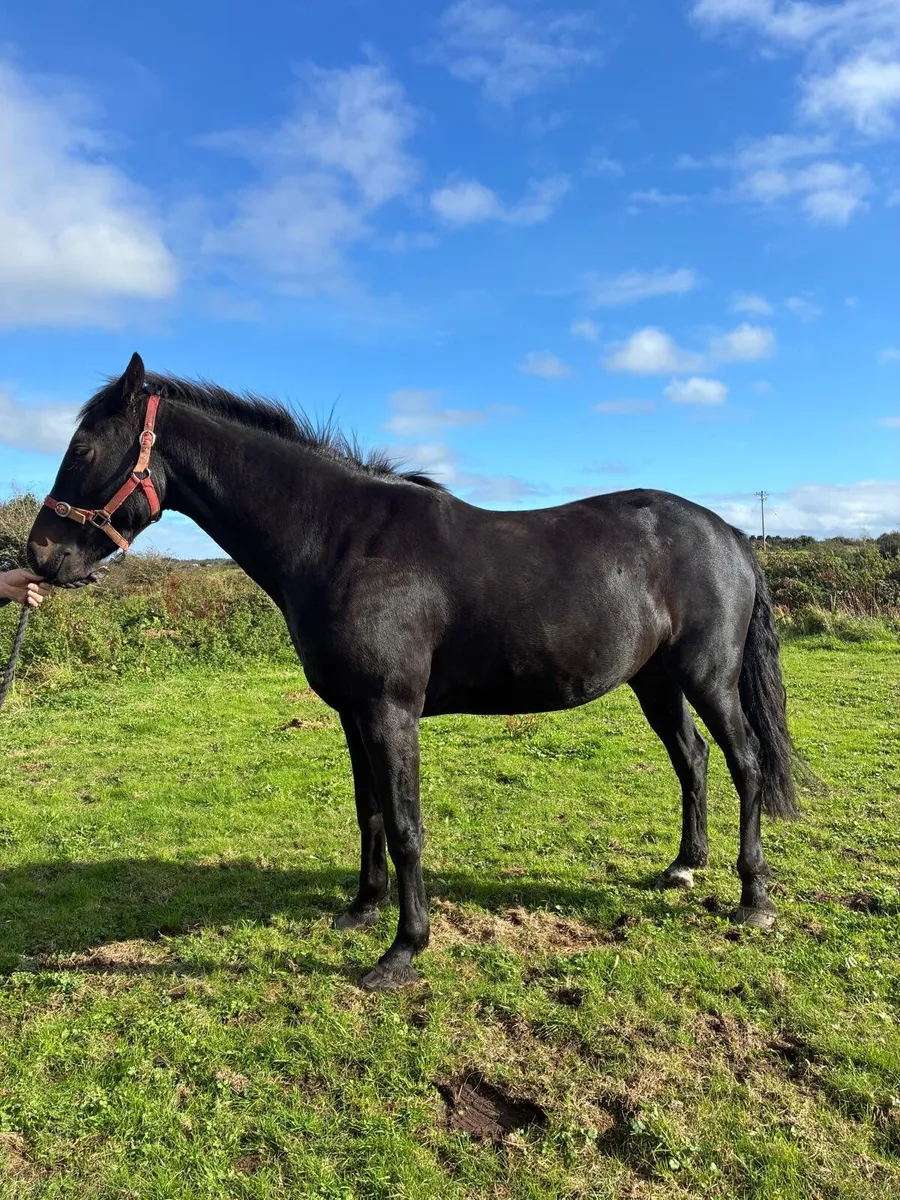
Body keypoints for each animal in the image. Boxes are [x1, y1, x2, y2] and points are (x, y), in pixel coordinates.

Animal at [27, 353, 800, 990]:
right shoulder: (353, 714)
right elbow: (368, 812)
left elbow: (404, 825)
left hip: (708, 677)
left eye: (83, 447)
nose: (39, 557)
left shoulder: (389, 711)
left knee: (746, 762)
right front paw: (363, 910)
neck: (339, 537)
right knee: (693, 760)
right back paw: (684, 866)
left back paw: (753, 899)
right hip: (656, 681)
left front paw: (403, 951)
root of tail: (730, 534)